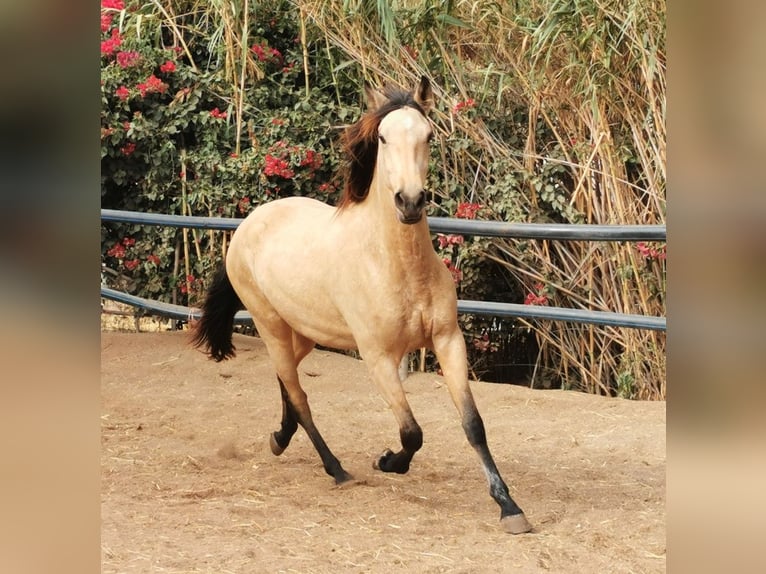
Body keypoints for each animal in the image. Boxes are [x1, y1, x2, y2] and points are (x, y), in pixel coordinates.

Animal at [190, 75, 536, 536]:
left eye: (428, 135)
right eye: (384, 138)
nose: (410, 201)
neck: (397, 266)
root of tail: (248, 224)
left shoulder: (448, 341)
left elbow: (473, 425)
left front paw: (509, 506)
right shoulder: (377, 357)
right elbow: (411, 432)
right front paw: (387, 461)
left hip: (303, 333)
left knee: (287, 380)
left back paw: (280, 439)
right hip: (270, 325)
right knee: (300, 396)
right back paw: (337, 469)